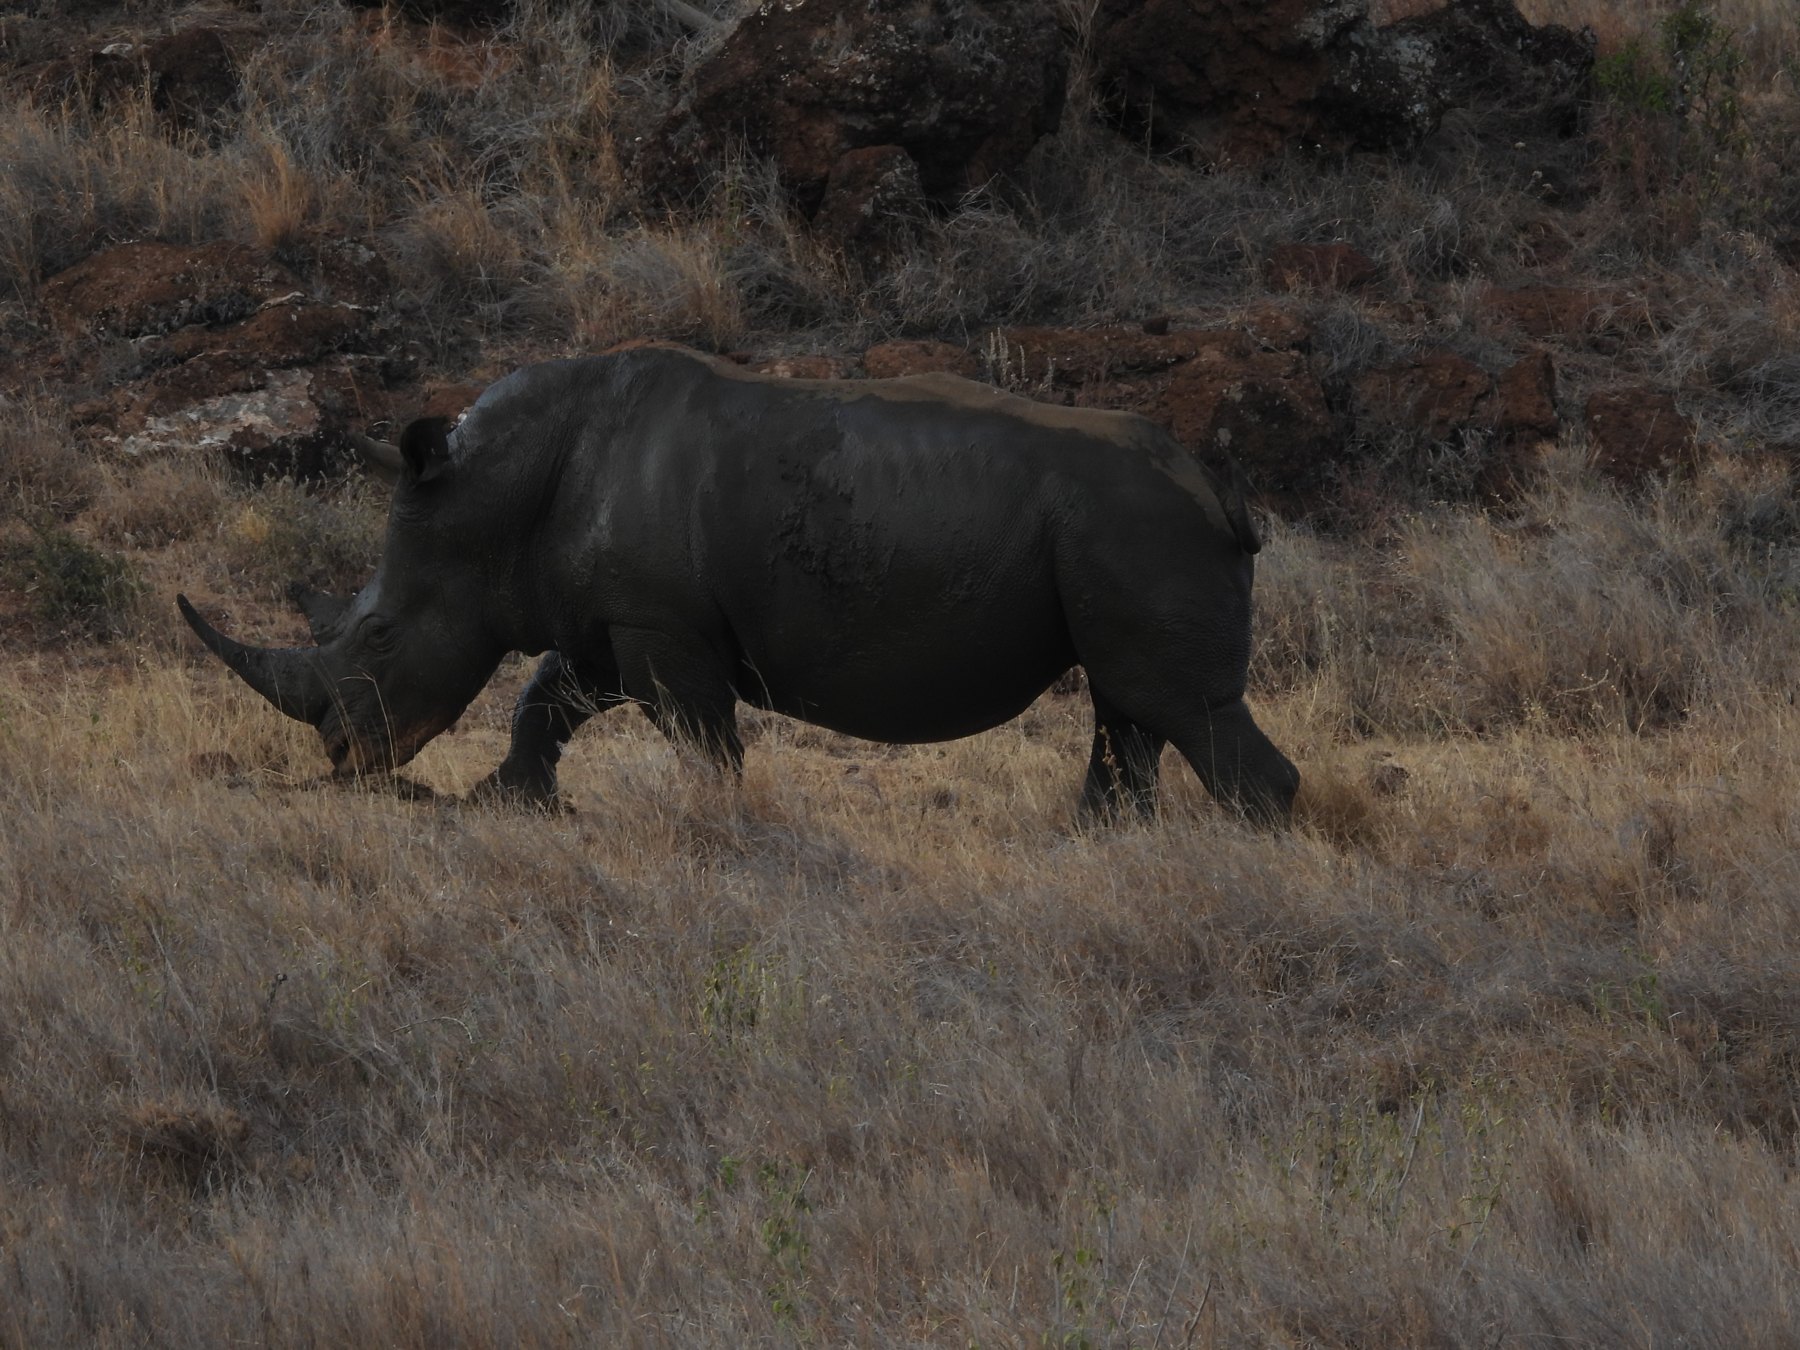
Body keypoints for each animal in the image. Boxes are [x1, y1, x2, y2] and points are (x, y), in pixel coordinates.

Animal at [179, 344, 1298, 824]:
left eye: (377, 637)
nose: (341, 756)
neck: (493, 492)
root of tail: (1218, 487)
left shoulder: (663, 627)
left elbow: (699, 735)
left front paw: (715, 823)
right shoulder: (612, 616)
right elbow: (548, 697)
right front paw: (508, 801)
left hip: (1138, 526)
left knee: (1176, 704)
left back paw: (1244, 850)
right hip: (1116, 530)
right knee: (1129, 707)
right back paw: (1105, 842)